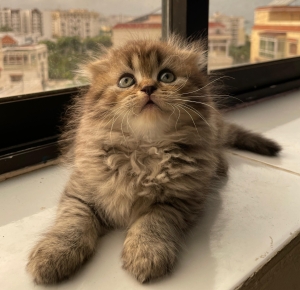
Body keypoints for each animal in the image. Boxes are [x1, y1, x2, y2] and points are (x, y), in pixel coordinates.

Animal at [26, 36, 282, 284]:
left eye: (166, 76)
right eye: (126, 81)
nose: (148, 87)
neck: (144, 149)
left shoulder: (177, 198)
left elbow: (153, 222)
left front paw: (146, 252)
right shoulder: (81, 190)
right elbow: (72, 222)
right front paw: (54, 253)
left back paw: (219, 166)